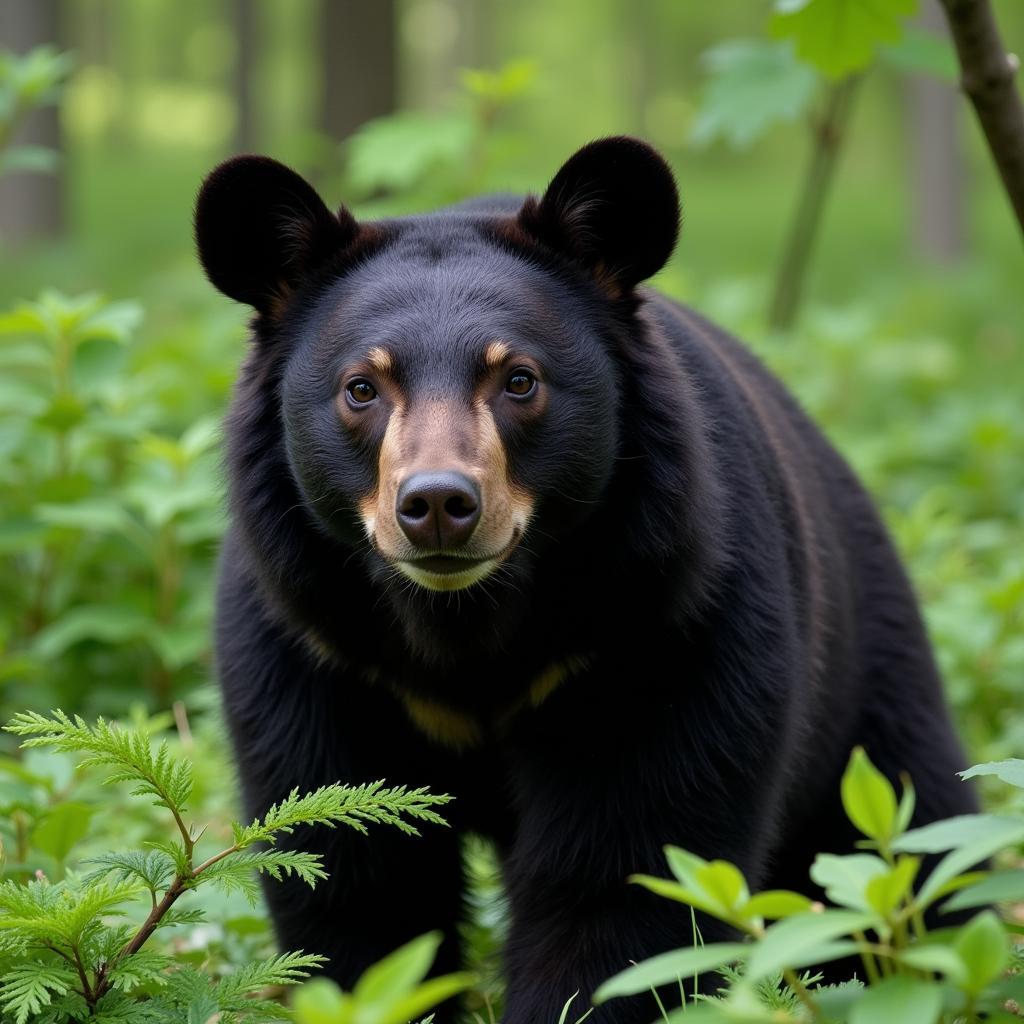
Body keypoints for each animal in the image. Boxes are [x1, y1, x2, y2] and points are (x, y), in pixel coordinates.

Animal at [193, 138, 974, 1024]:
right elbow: (358, 880)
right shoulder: (316, 650)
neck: (465, 626)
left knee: (919, 840)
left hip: (870, 694)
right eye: (362, 387)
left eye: (518, 380)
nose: (437, 505)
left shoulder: (662, 630)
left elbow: (627, 875)